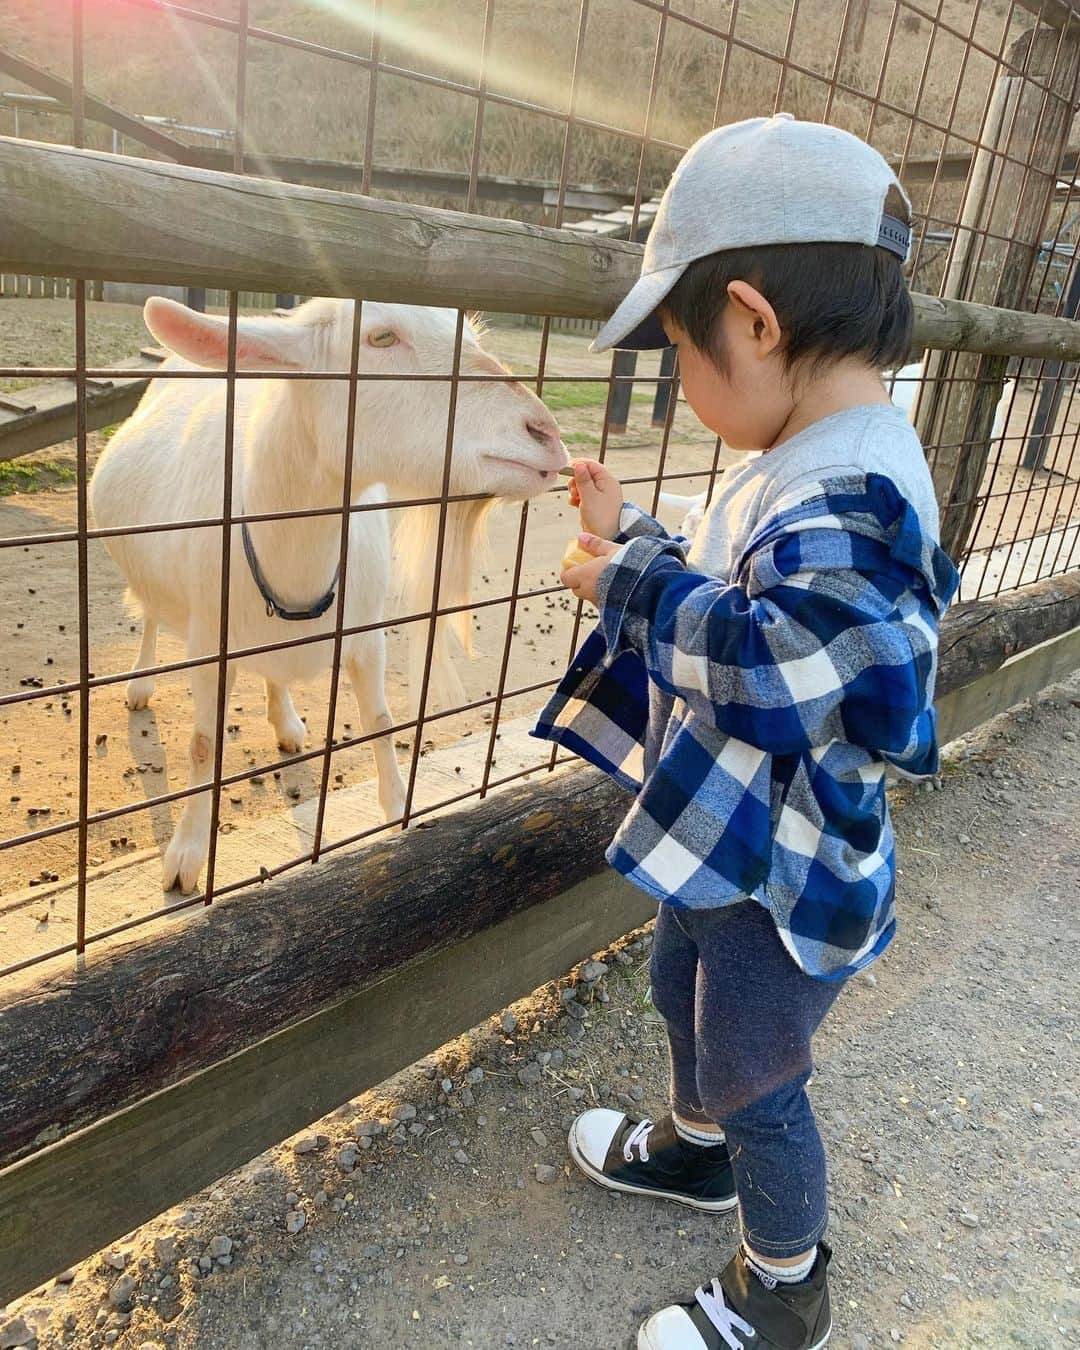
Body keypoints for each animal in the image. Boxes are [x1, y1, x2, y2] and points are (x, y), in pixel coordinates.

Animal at [93, 297, 569, 891]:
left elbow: (382, 723)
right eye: (381, 338)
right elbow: (204, 745)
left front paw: (399, 813)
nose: (546, 435)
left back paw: (287, 722)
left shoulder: (366, 629)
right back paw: (139, 682)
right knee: (152, 614)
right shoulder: (209, 642)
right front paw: (185, 857)